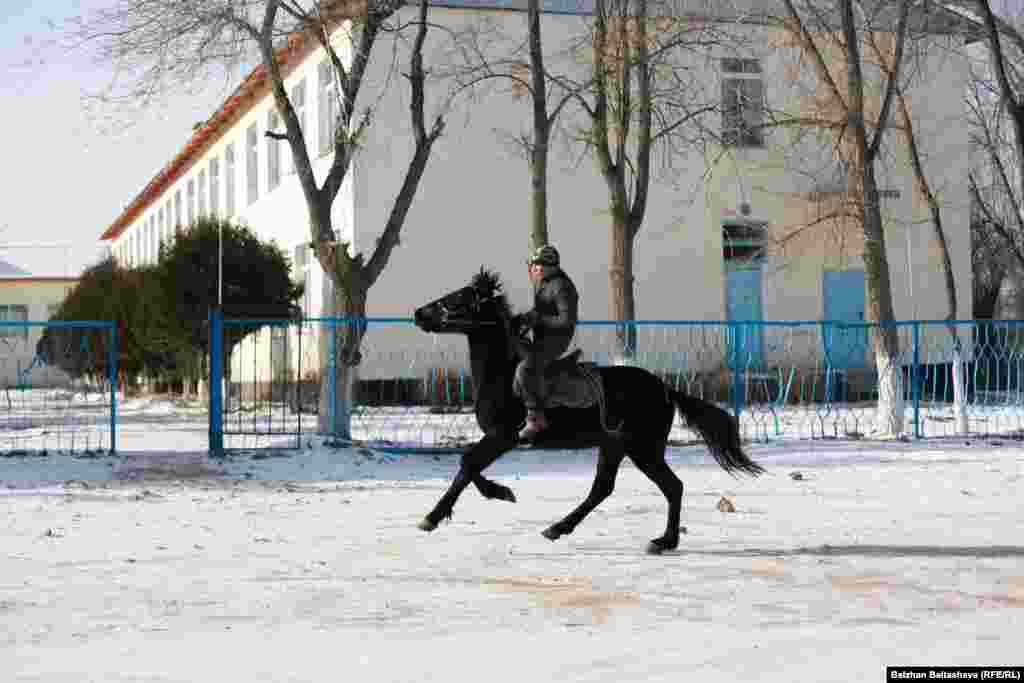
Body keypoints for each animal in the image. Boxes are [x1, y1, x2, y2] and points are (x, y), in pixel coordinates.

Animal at [409, 268, 761, 557]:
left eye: (458, 298)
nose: (418, 313)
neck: (503, 375)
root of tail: (664, 388)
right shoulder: (496, 439)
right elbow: (470, 466)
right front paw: (501, 491)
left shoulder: (502, 437)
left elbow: (467, 464)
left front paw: (434, 517)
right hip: (616, 446)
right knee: (607, 488)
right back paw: (565, 529)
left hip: (641, 448)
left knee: (668, 487)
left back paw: (661, 541)